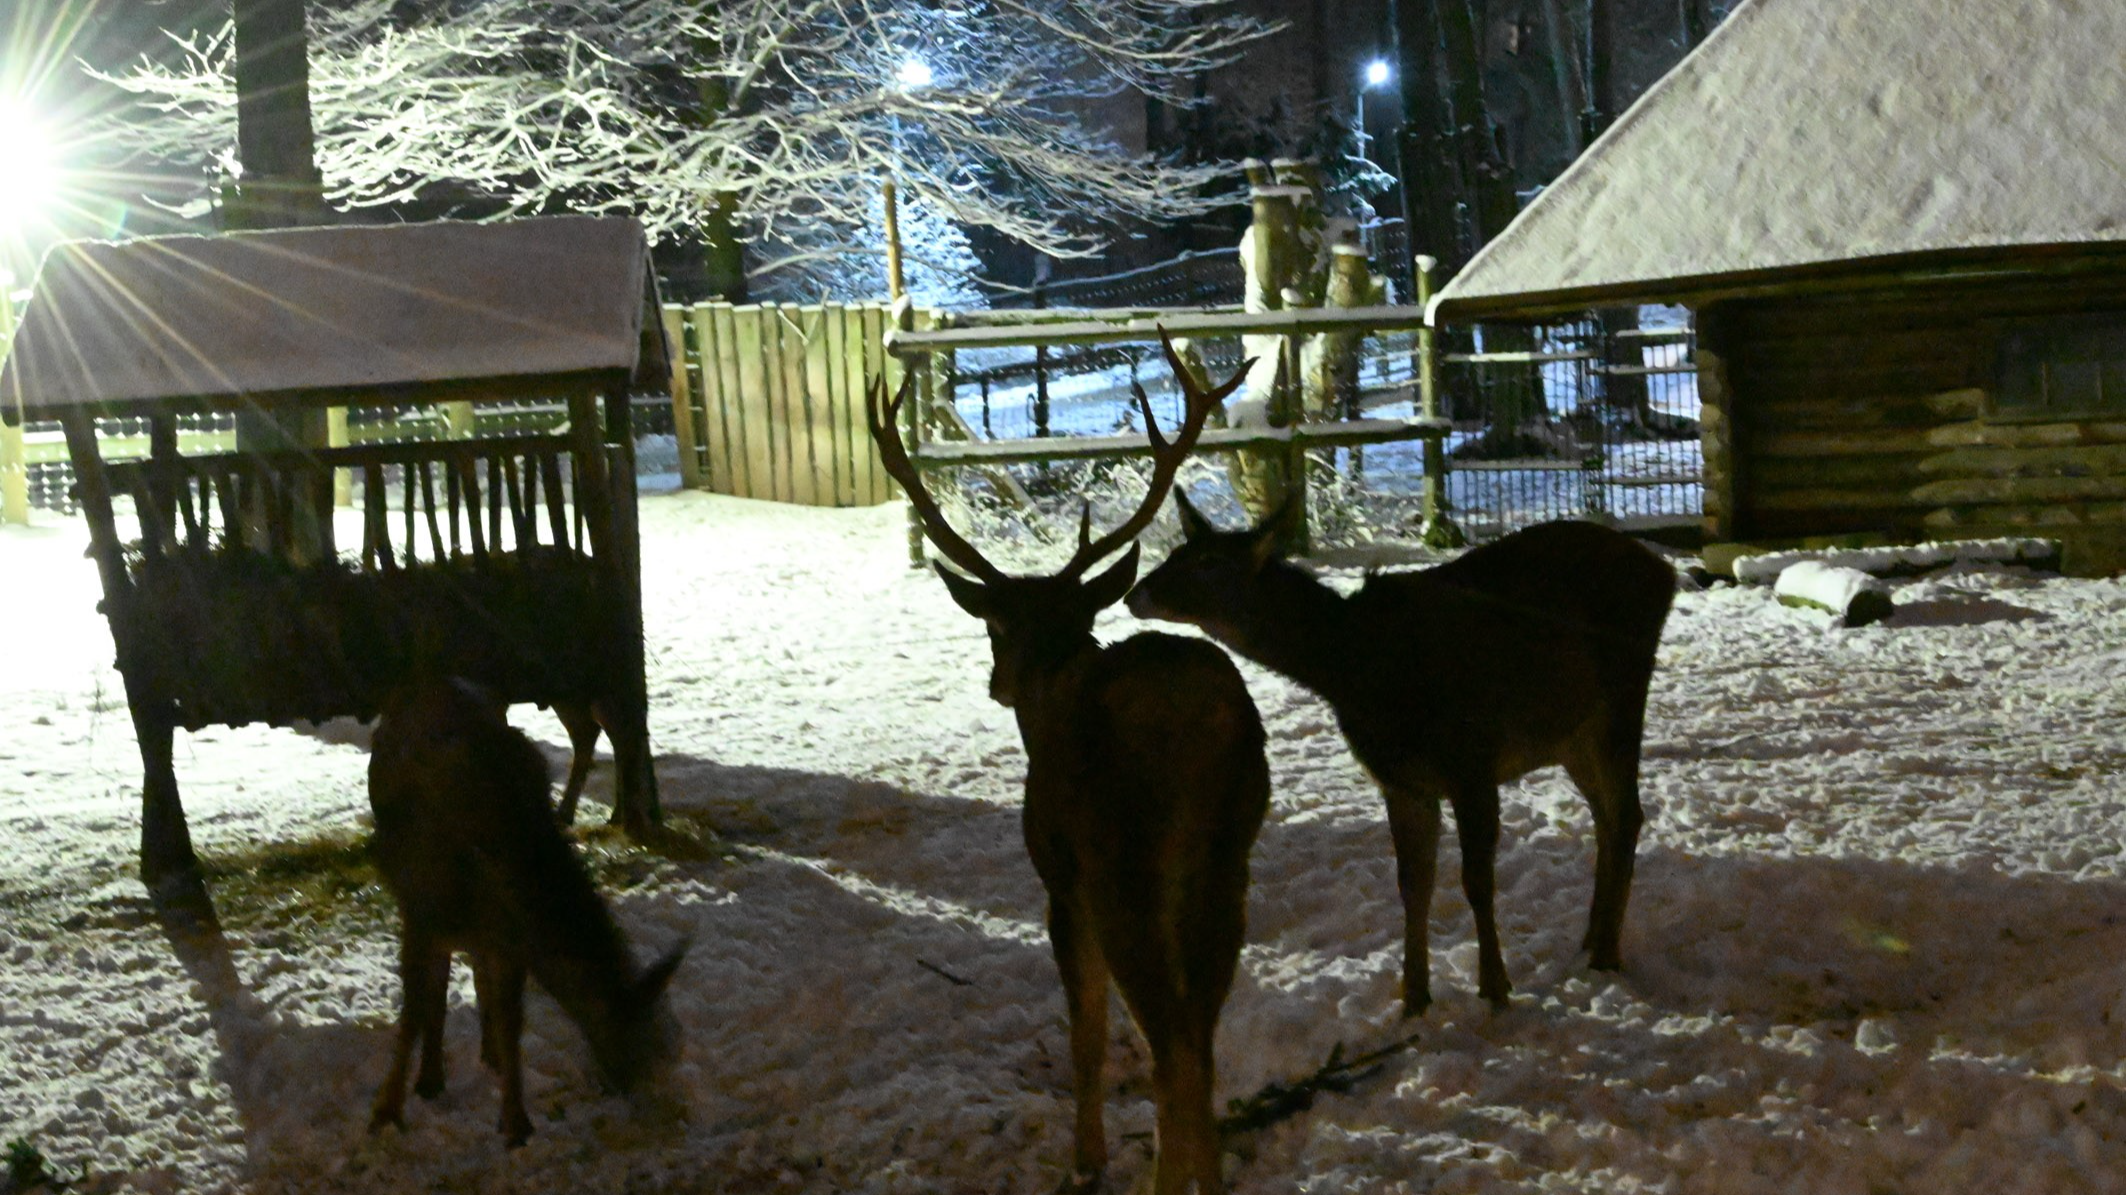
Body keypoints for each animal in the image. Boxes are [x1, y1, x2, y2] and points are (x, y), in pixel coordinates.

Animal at [365, 676, 688, 1139]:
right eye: (638, 1040)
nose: (636, 1094)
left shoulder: (509, 941)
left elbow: (511, 1019)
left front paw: (516, 1119)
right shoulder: (420, 911)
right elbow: (411, 1014)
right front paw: (386, 1111)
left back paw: (477, 1059)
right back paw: (429, 1078)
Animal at [867, 338, 1267, 1190]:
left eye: (994, 626)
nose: (998, 681)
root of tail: (1202, 723)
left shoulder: (1060, 876)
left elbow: (1085, 1030)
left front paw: (1086, 1161)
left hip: (1124, 867)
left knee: (1171, 1041)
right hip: (1229, 858)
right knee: (1201, 1037)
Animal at [1139, 499, 1666, 1012]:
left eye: (1209, 561)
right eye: (1177, 552)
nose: (1136, 593)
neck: (1359, 672)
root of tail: (1664, 572)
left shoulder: (1471, 761)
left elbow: (1476, 882)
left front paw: (1495, 988)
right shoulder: (1400, 780)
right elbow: (1413, 886)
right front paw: (1413, 996)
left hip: (1621, 697)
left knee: (1627, 813)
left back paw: (1606, 953)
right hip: (1573, 734)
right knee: (1607, 816)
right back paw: (1591, 939)